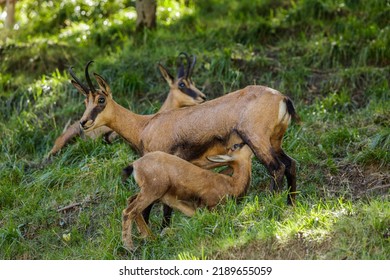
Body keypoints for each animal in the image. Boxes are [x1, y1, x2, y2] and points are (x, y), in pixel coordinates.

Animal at [122, 142, 253, 249]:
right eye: (236, 146)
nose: (248, 143)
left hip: (152, 193)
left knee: (131, 201)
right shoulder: (208, 204)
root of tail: (135, 164)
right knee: (128, 212)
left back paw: (149, 237)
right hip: (153, 190)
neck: (232, 184)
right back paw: (130, 247)